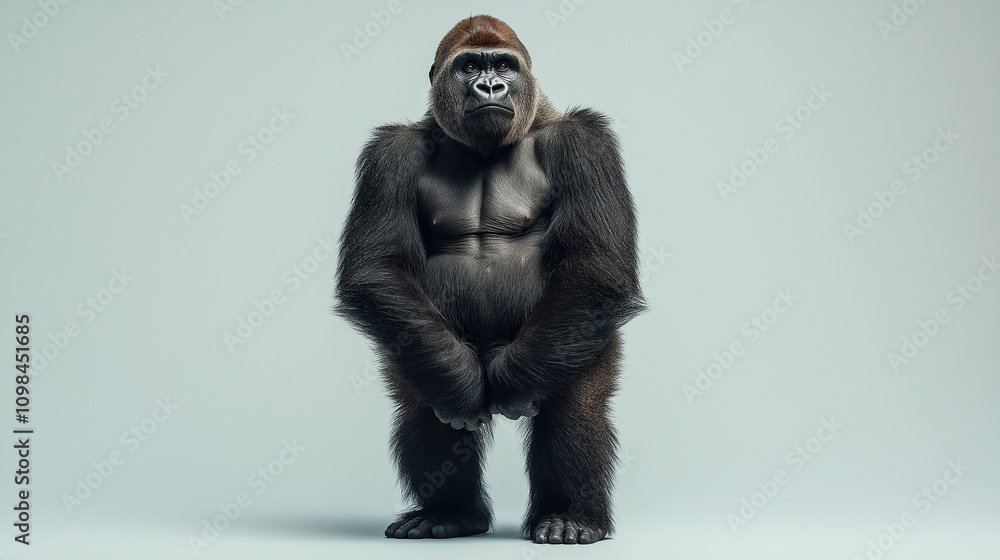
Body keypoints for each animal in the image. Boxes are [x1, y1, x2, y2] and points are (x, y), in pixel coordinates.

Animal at [335, 15, 643, 544]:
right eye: (469, 67)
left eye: (503, 66)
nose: (490, 87)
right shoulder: (390, 154)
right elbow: (377, 267)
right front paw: (460, 387)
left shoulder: (584, 142)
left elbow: (596, 265)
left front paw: (513, 386)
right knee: (422, 399)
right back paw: (449, 512)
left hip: (577, 336)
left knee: (573, 404)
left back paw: (570, 516)